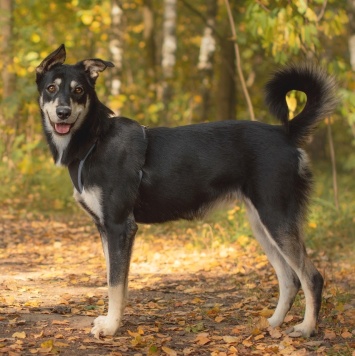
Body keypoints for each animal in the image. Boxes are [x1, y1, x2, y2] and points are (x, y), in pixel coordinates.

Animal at [36, 45, 340, 340]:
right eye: (51, 88)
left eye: (79, 90)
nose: (63, 112)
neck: (95, 140)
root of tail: (286, 133)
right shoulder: (104, 227)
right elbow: (115, 280)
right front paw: (112, 321)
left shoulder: (119, 226)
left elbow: (115, 283)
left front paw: (111, 327)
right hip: (262, 224)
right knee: (290, 279)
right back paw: (273, 324)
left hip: (277, 217)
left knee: (311, 277)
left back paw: (307, 328)